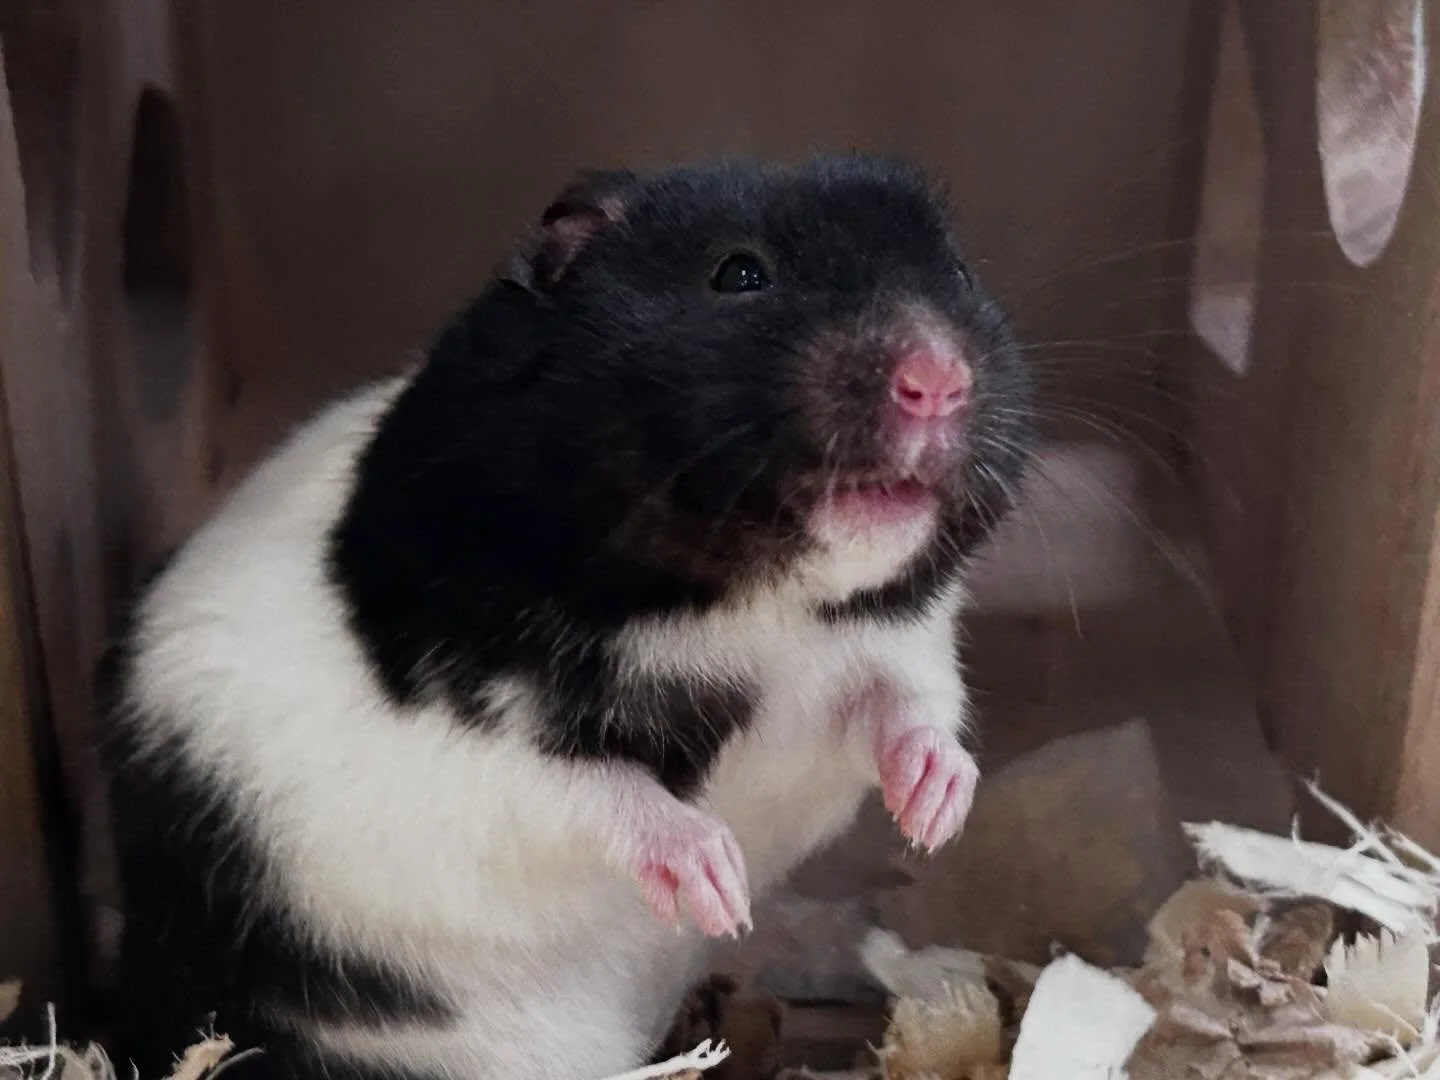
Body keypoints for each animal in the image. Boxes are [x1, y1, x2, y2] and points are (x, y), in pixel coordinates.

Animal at [100, 155, 1034, 1080]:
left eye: (957, 272)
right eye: (739, 275)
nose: (938, 380)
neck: (761, 612)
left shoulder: (887, 655)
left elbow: (912, 711)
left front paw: (936, 816)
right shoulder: (479, 740)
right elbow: (600, 794)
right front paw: (718, 885)